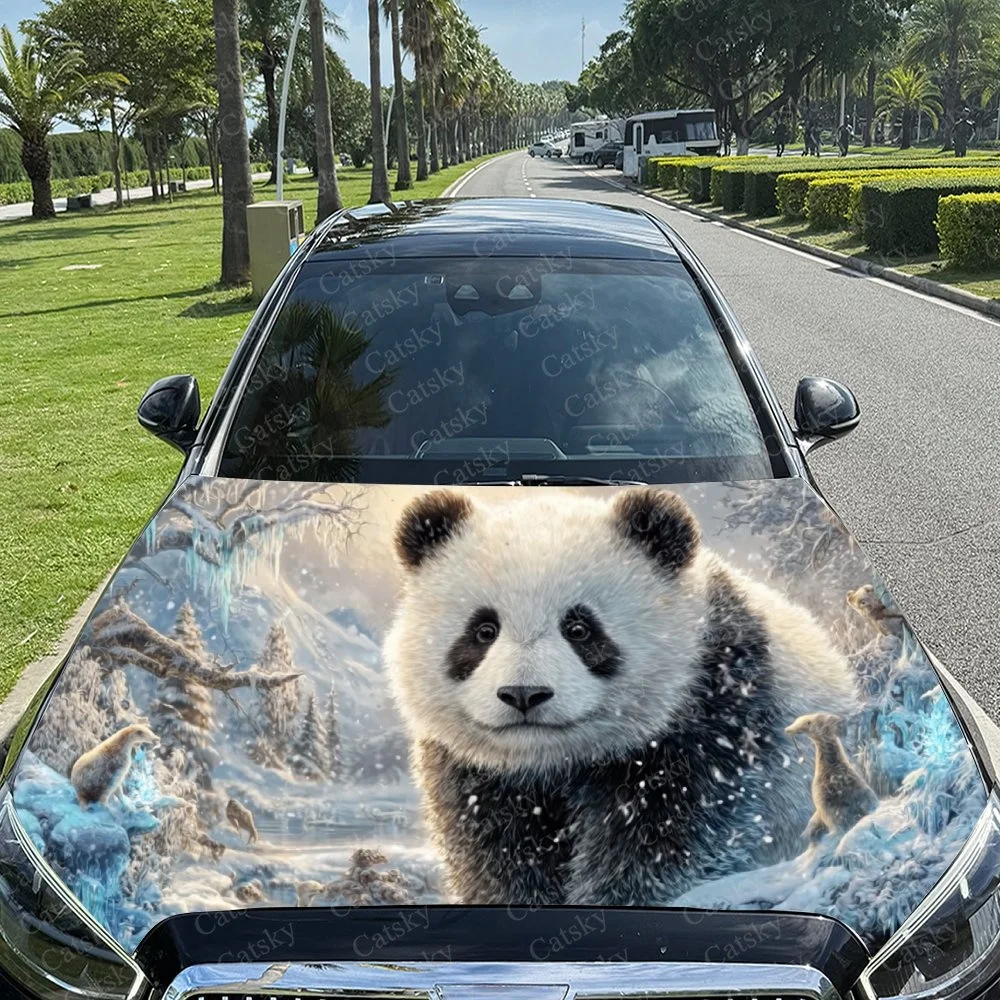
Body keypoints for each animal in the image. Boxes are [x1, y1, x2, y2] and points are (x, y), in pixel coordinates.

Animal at [383, 486, 857, 907]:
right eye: (483, 630)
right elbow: (495, 847)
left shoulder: (717, 711)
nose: (524, 694)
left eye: (579, 629)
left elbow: (674, 839)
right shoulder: (474, 771)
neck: (551, 760)